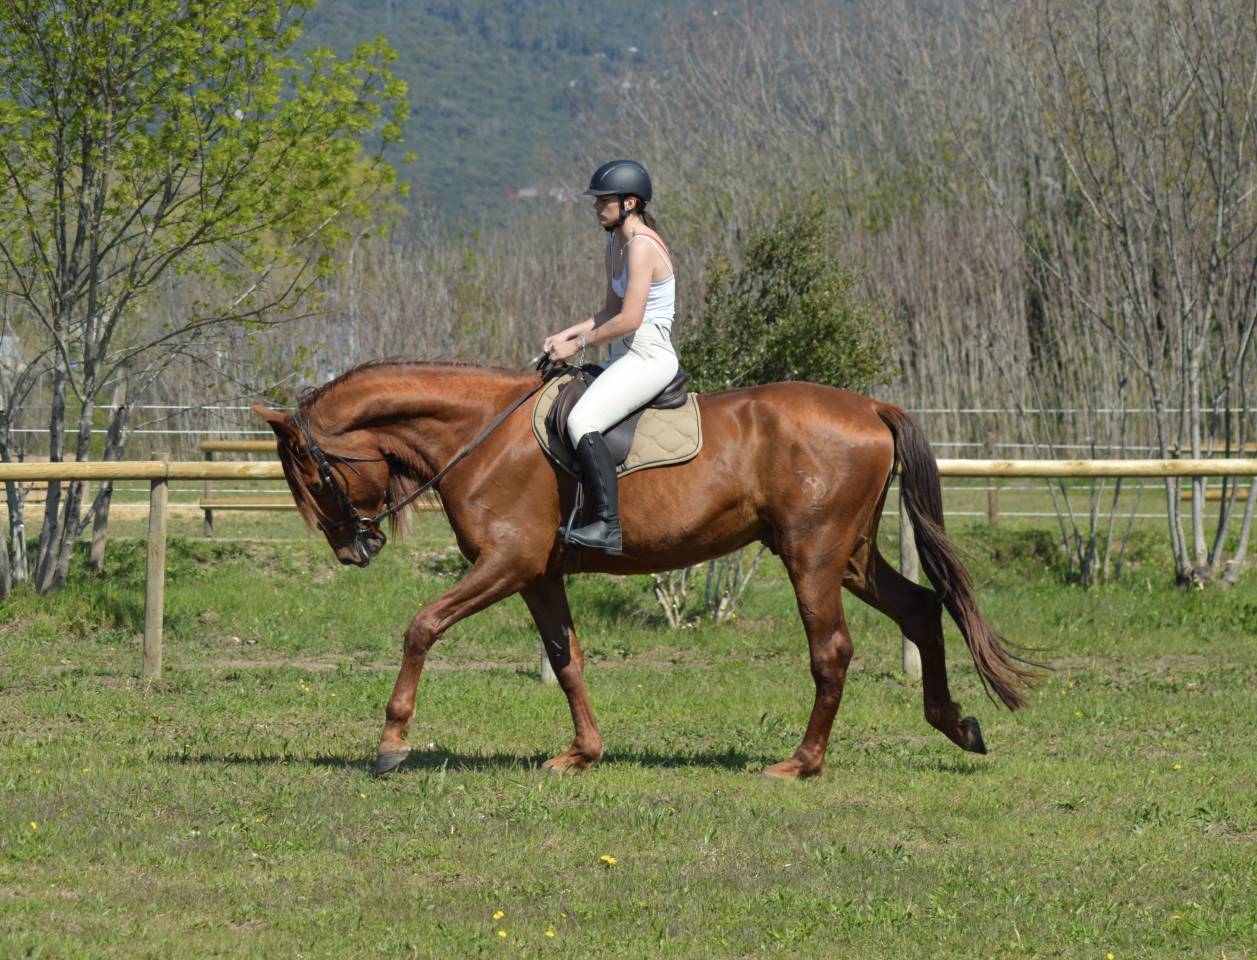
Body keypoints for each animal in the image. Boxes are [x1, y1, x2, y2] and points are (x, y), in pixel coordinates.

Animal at [253, 360, 1037, 780]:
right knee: (921, 609)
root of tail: (871, 406)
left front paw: (391, 745)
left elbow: (422, 627)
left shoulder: (506, 564)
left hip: (811, 555)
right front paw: (581, 754)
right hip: (848, 556)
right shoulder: (537, 575)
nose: (353, 551)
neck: (482, 434)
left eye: (314, 478)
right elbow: (566, 659)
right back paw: (955, 725)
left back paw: (800, 762)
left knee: (833, 651)